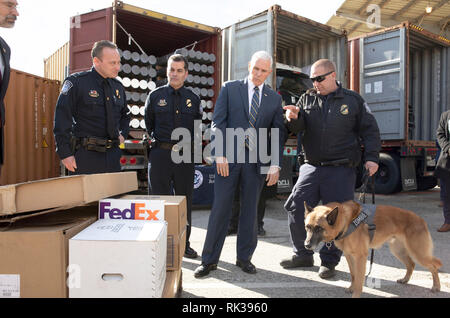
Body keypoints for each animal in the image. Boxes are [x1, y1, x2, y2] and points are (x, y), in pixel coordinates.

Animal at [304, 201, 442, 298]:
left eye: (319, 228)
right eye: (307, 227)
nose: (306, 245)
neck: (346, 222)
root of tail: (421, 220)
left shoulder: (360, 258)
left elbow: (359, 280)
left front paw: (356, 294)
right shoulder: (349, 256)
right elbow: (353, 275)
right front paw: (351, 288)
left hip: (419, 254)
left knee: (433, 266)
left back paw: (436, 287)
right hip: (398, 251)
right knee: (411, 264)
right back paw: (405, 279)